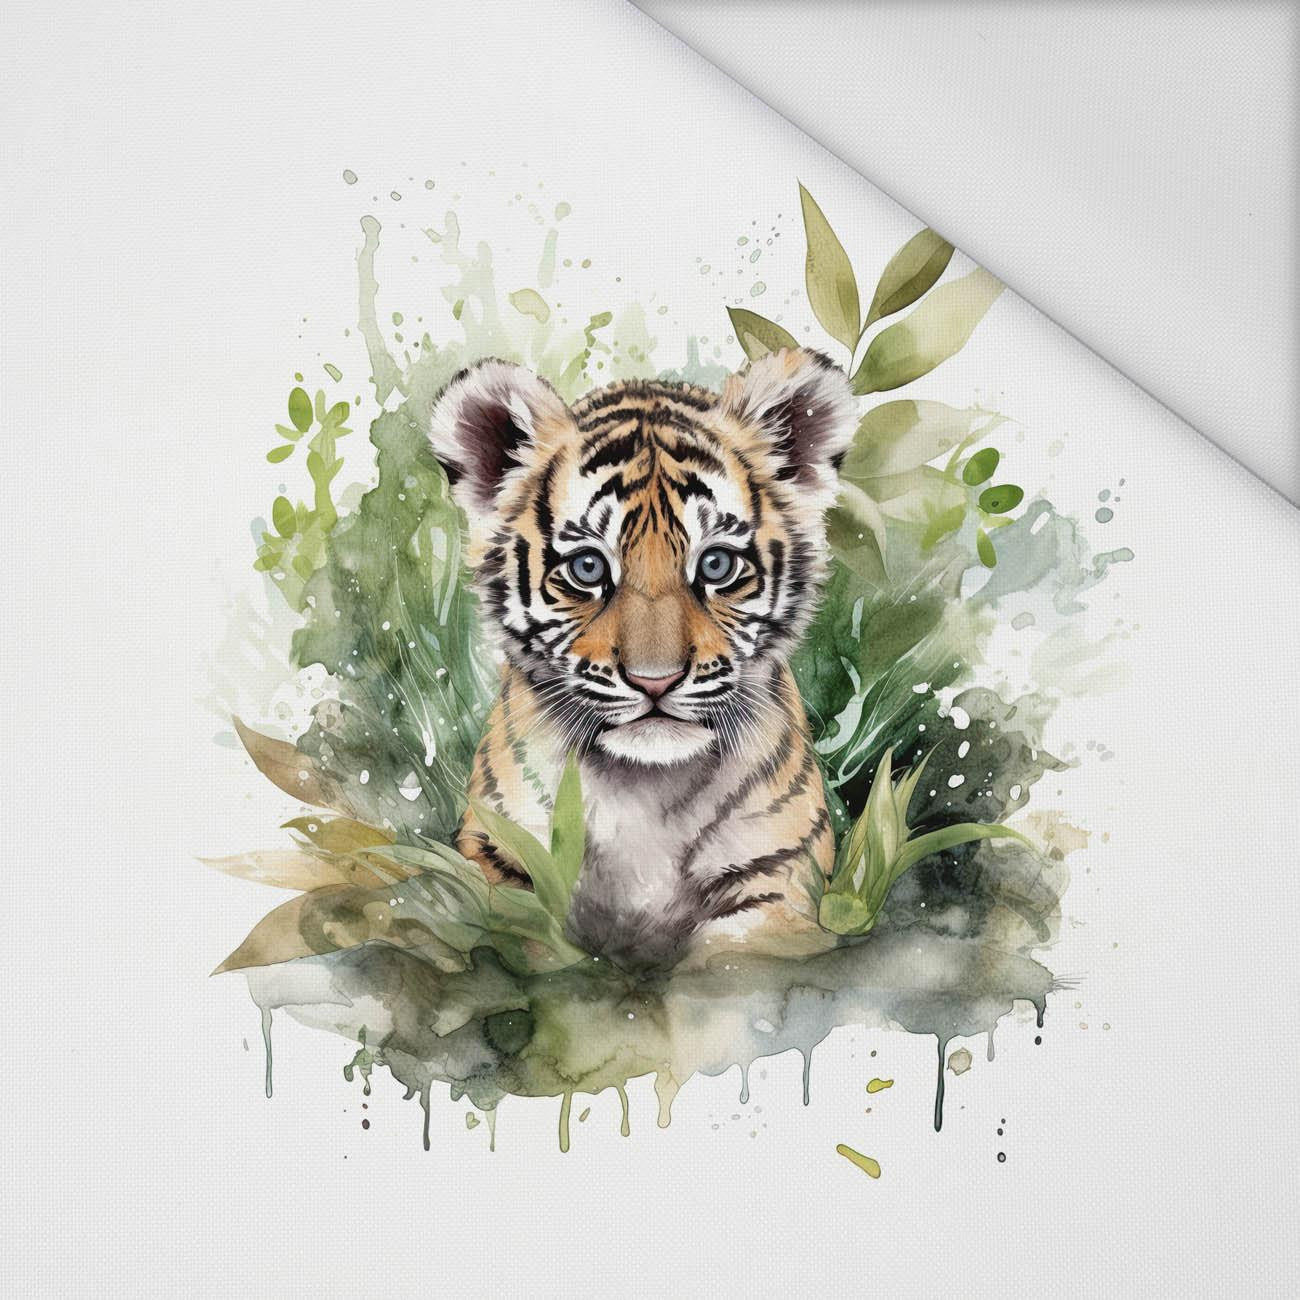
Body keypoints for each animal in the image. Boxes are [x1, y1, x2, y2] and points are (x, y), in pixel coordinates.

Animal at [427, 346, 856, 968]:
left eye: (716, 565)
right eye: (587, 568)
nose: (656, 682)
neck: (645, 790)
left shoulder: (776, 880)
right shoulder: (501, 859)